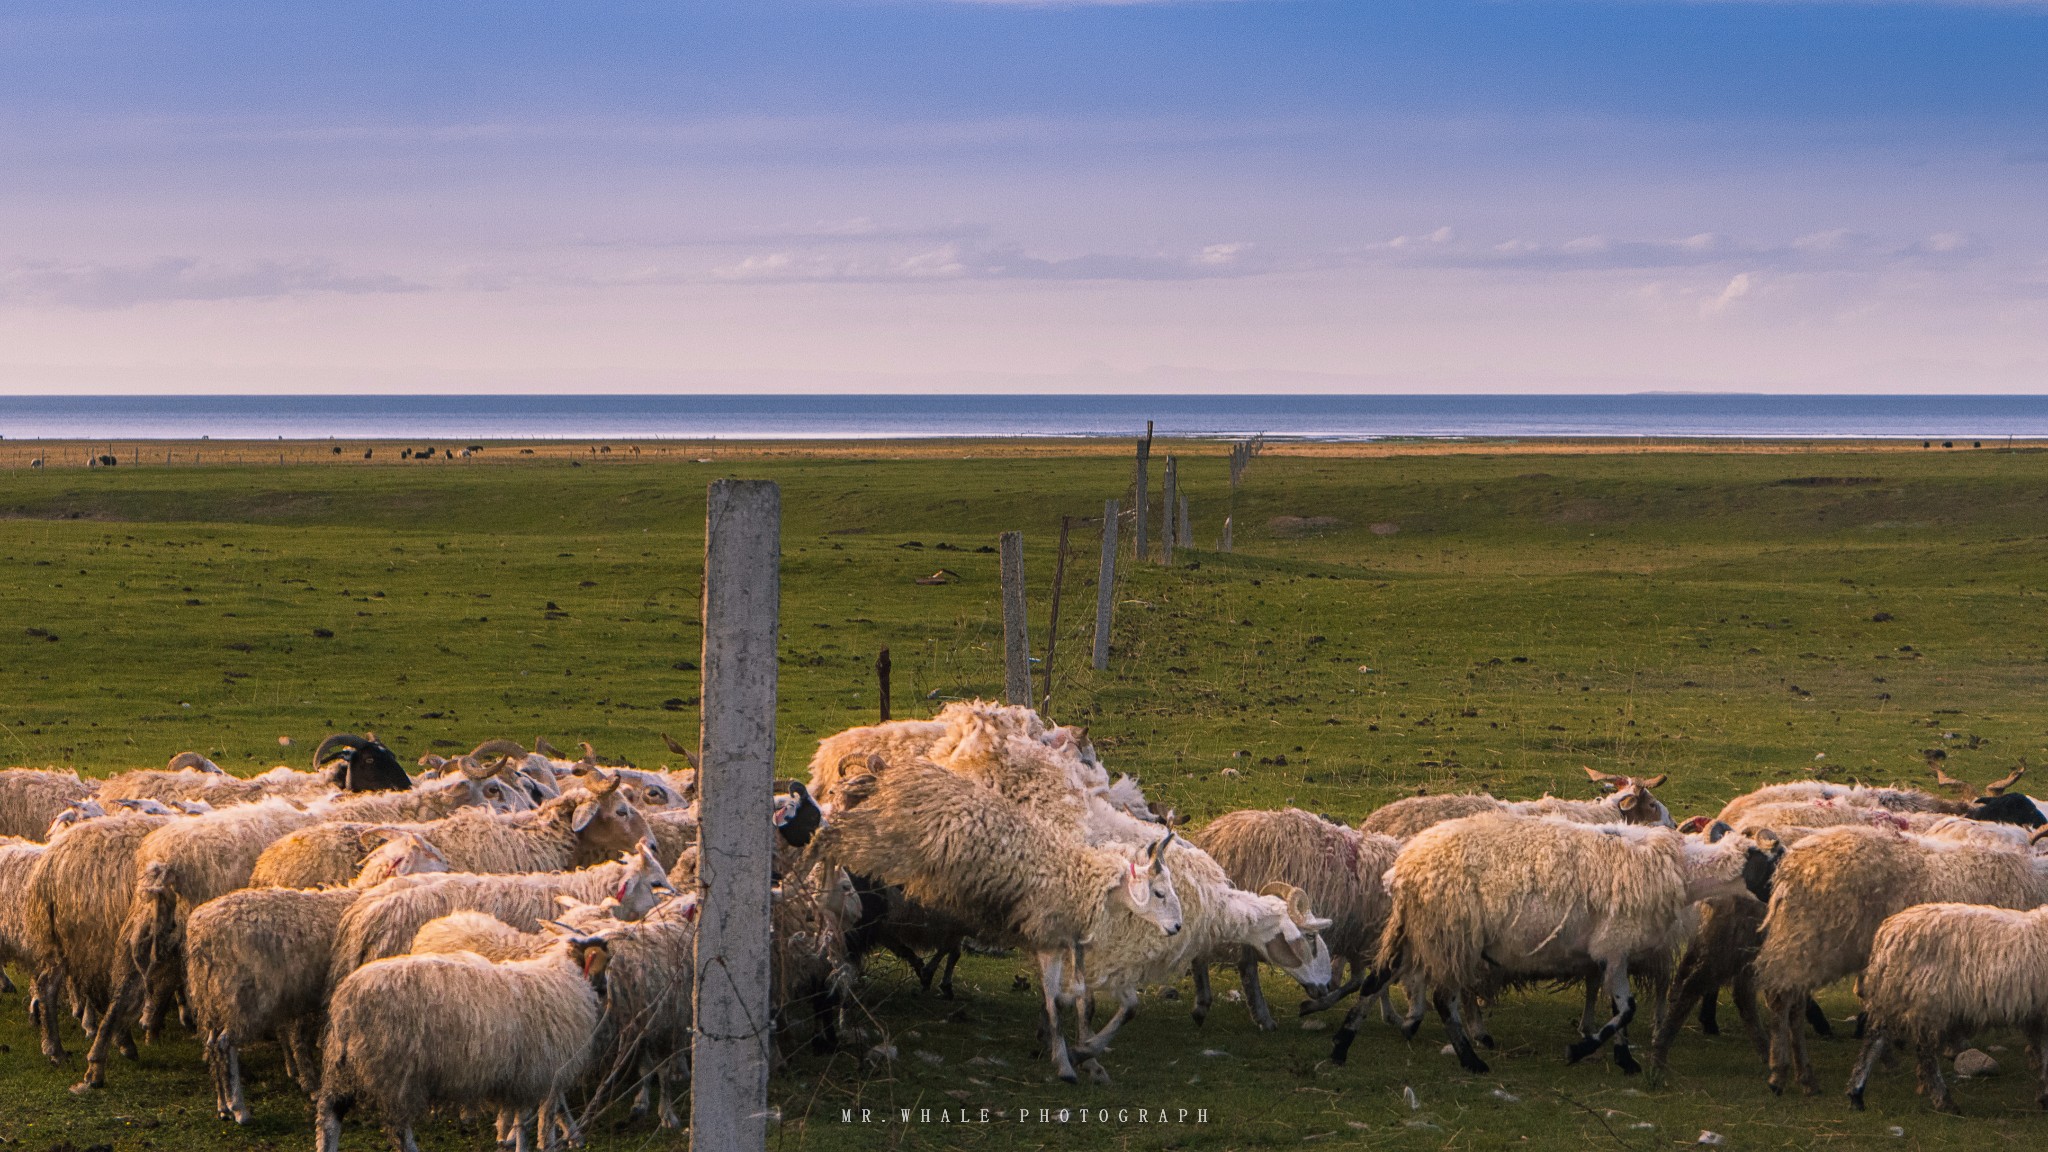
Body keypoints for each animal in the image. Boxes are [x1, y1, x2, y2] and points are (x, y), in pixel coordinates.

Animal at [185, 828, 452, 1115]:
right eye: (427, 853)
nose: (450, 867)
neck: (360, 894)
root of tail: (200, 934)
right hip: (242, 995)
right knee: (225, 1044)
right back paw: (238, 1107)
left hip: (212, 995)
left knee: (212, 1044)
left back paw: (222, 1104)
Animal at [315, 926, 610, 1147]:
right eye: (604, 961)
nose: (606, 990)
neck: (563, 974)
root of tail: (347, 1000)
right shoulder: (544, 1068)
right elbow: (543, 1119)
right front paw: (550, 1141)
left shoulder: (524, 1073)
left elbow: (523, 1117)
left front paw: (510, 1140)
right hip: (396, 1069)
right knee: (397, 1127)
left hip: (344, 1064)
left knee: (329, 1116)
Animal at [806, 750, 1179, 1082]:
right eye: (1159, 892)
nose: (1176, 926)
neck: (1078, 877)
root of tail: (888, 774)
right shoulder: (1046, 940)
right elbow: (1057, 1004)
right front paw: (1066, 1063)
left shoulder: (1069, 942)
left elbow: (1083, 999)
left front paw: (1086, 1054)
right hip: (874, 843)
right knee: (827, 840)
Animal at [1187, 803, 1409, 1024]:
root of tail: (1215, 839)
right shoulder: (1368, 939)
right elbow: (1364, 982)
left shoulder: (1357, 938)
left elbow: (1359, 981)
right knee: (1246, 965)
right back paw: (1260, 1016)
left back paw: (1204, 1003)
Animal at [1753, 819, 2048, 1090]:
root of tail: (1790, 865)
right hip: (1811, 942)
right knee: (1781, 998)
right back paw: (1782, 1071)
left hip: (1807, 945)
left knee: (1796, 1002)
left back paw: (1808, 1074)